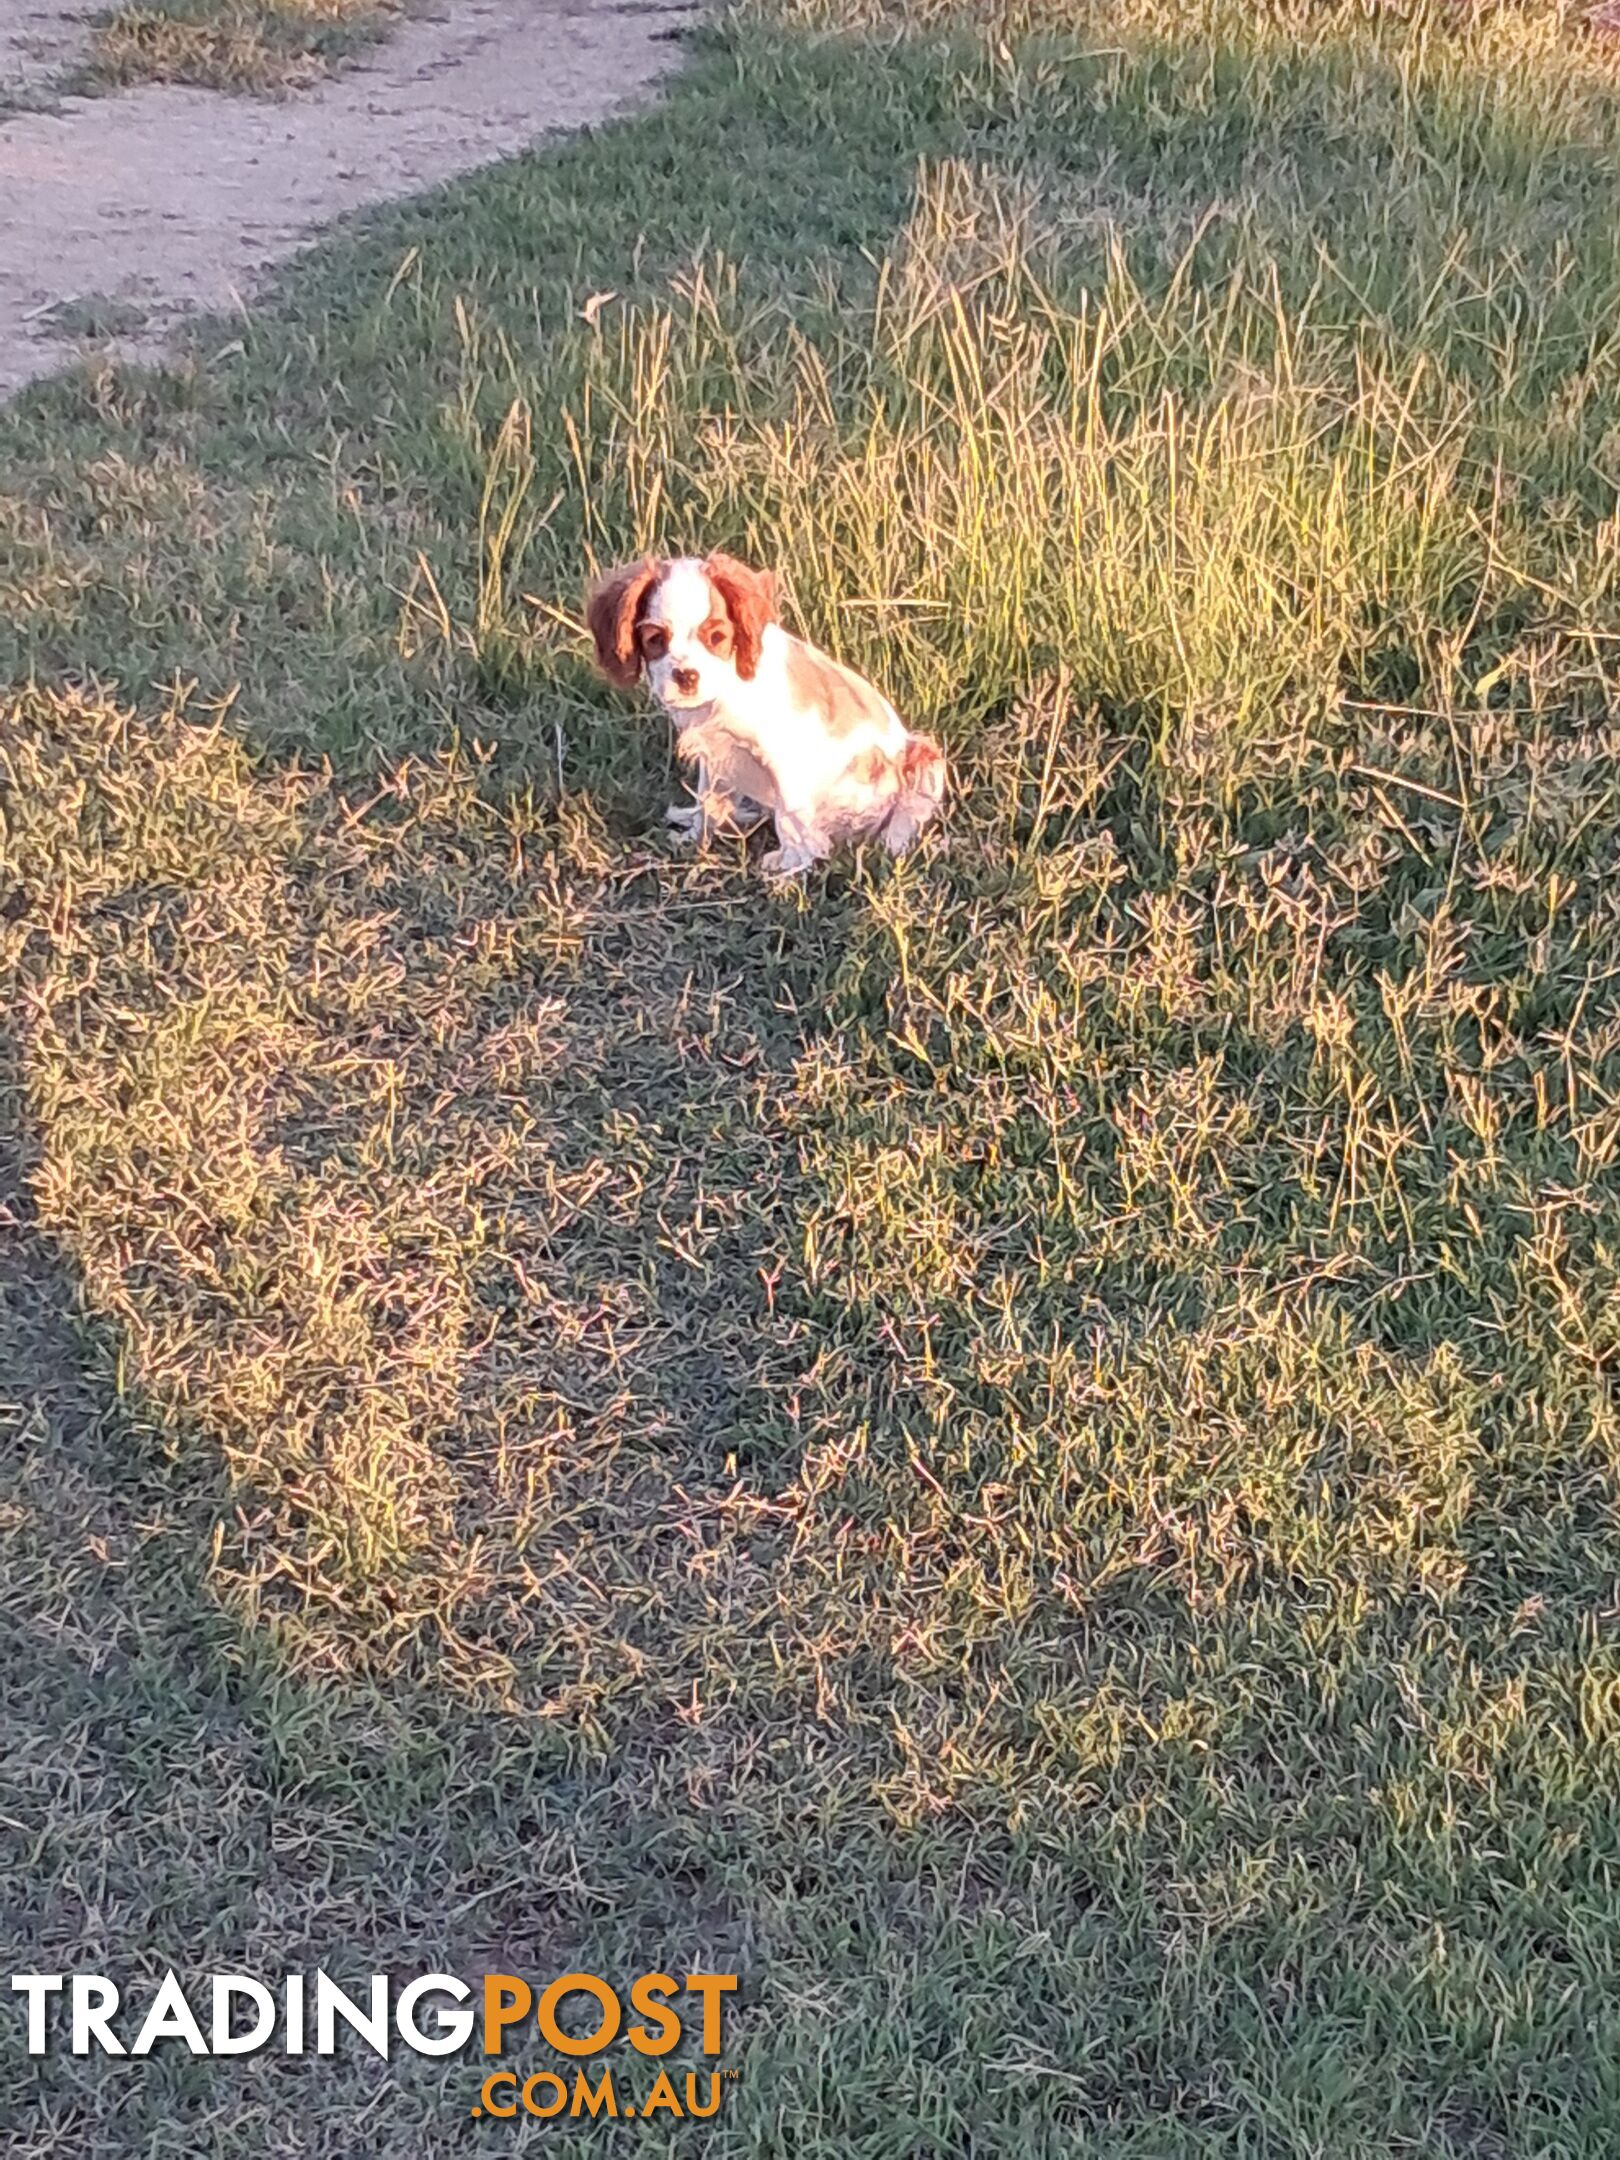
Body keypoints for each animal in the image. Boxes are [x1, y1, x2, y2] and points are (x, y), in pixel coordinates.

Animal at [587, 552, 946, 881]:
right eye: (655, 640)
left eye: (716, 638)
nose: (686, 676)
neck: (727, 687)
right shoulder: (716, 755)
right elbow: (707, 798)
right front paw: (696, 837)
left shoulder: (785, 762)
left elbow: (790, 821)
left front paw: (791, 868)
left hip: (924, 764)